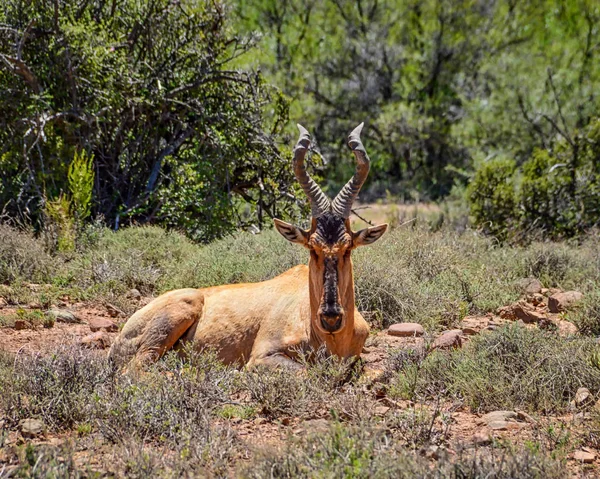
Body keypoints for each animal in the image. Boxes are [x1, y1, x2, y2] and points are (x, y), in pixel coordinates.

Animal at [109, 124, 386, 372]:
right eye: (312, 247)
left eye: (348, 247)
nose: (330, 318)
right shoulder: (261, 358)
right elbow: (305, 372)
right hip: (175, 318)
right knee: (135, 370)